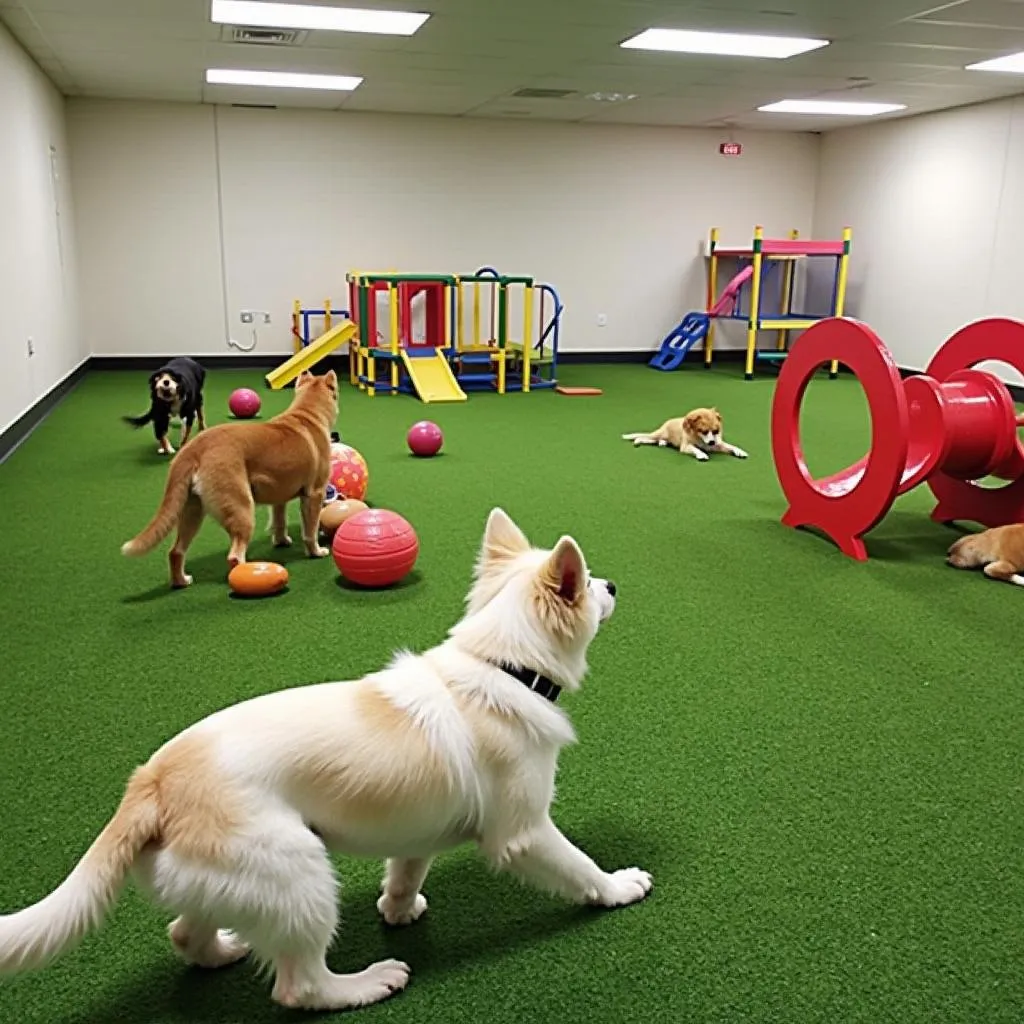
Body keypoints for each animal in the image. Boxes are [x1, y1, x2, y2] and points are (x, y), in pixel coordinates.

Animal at [0, 507, 651, 1011]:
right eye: (587, 583)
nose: (616, 585)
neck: (502, 664)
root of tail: (151, 784)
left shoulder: (416, 827)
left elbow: (406, 870)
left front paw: (397, 909)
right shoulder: (525, 833)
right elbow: (578, 867)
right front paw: (618, 887)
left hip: (230, 884)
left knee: (186, 934)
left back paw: (226, 950)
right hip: (300, 874)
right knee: (299, 988)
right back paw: (368, 983)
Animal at [119, 372, 335, 589]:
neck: (306, 414)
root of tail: (193, 448)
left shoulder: (278, 496)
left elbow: (279, 522)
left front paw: (282, 541)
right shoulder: (314, 494)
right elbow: (310, 530)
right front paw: (316, 552)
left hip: (191, 511)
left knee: (176, 552)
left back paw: (181, 581)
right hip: (241, 509)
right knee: (234, 556)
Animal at [618, 405, 749, 462]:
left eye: (716, 431)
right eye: (704, 431)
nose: (712, 442)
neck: (699, 439)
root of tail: (666, 423)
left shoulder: (716, 444)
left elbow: (730, 446)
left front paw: (740, 451)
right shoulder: (686, 446)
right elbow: (695, 448)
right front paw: (701, 454)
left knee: (654, 440)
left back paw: (662, 443)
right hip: (658, 434)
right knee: (645, 436)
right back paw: (637, 440)